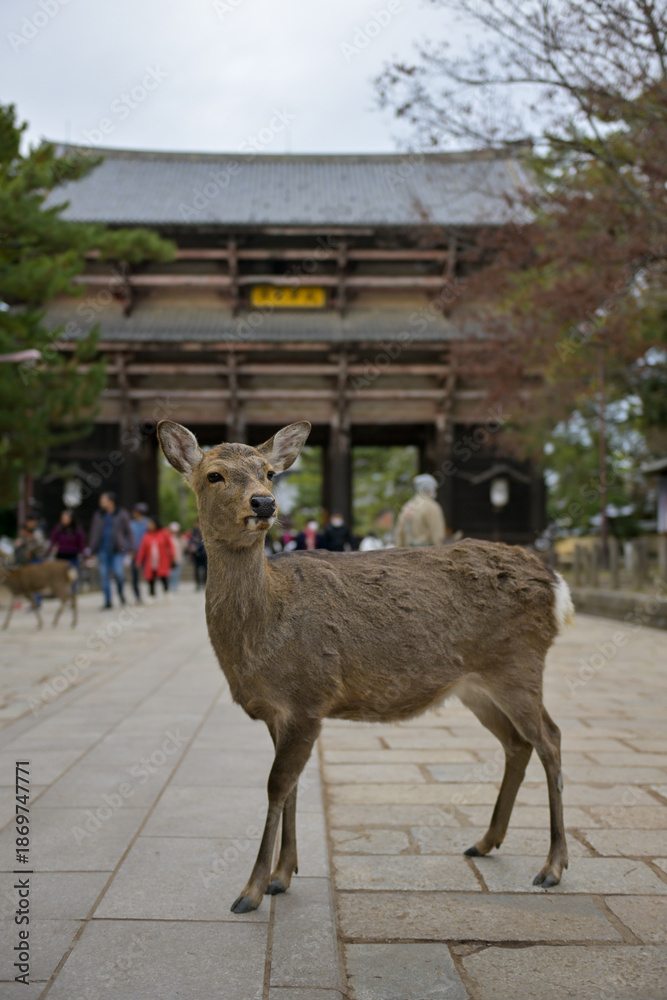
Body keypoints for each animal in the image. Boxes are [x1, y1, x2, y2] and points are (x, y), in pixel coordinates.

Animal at [157, 419, 574, 914]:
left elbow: (277, 784)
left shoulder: (309, 696)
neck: (260, 637)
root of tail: (557, 587)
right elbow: (291, 784)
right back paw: (485, 841)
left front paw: (251, 890)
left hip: (518, 665)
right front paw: (283, 875)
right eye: (214, 475)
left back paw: (553, 866)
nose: (264, 503)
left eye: (269, 473)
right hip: (477, 685)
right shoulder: (281, 710)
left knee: (551, 738)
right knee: (517, 743)